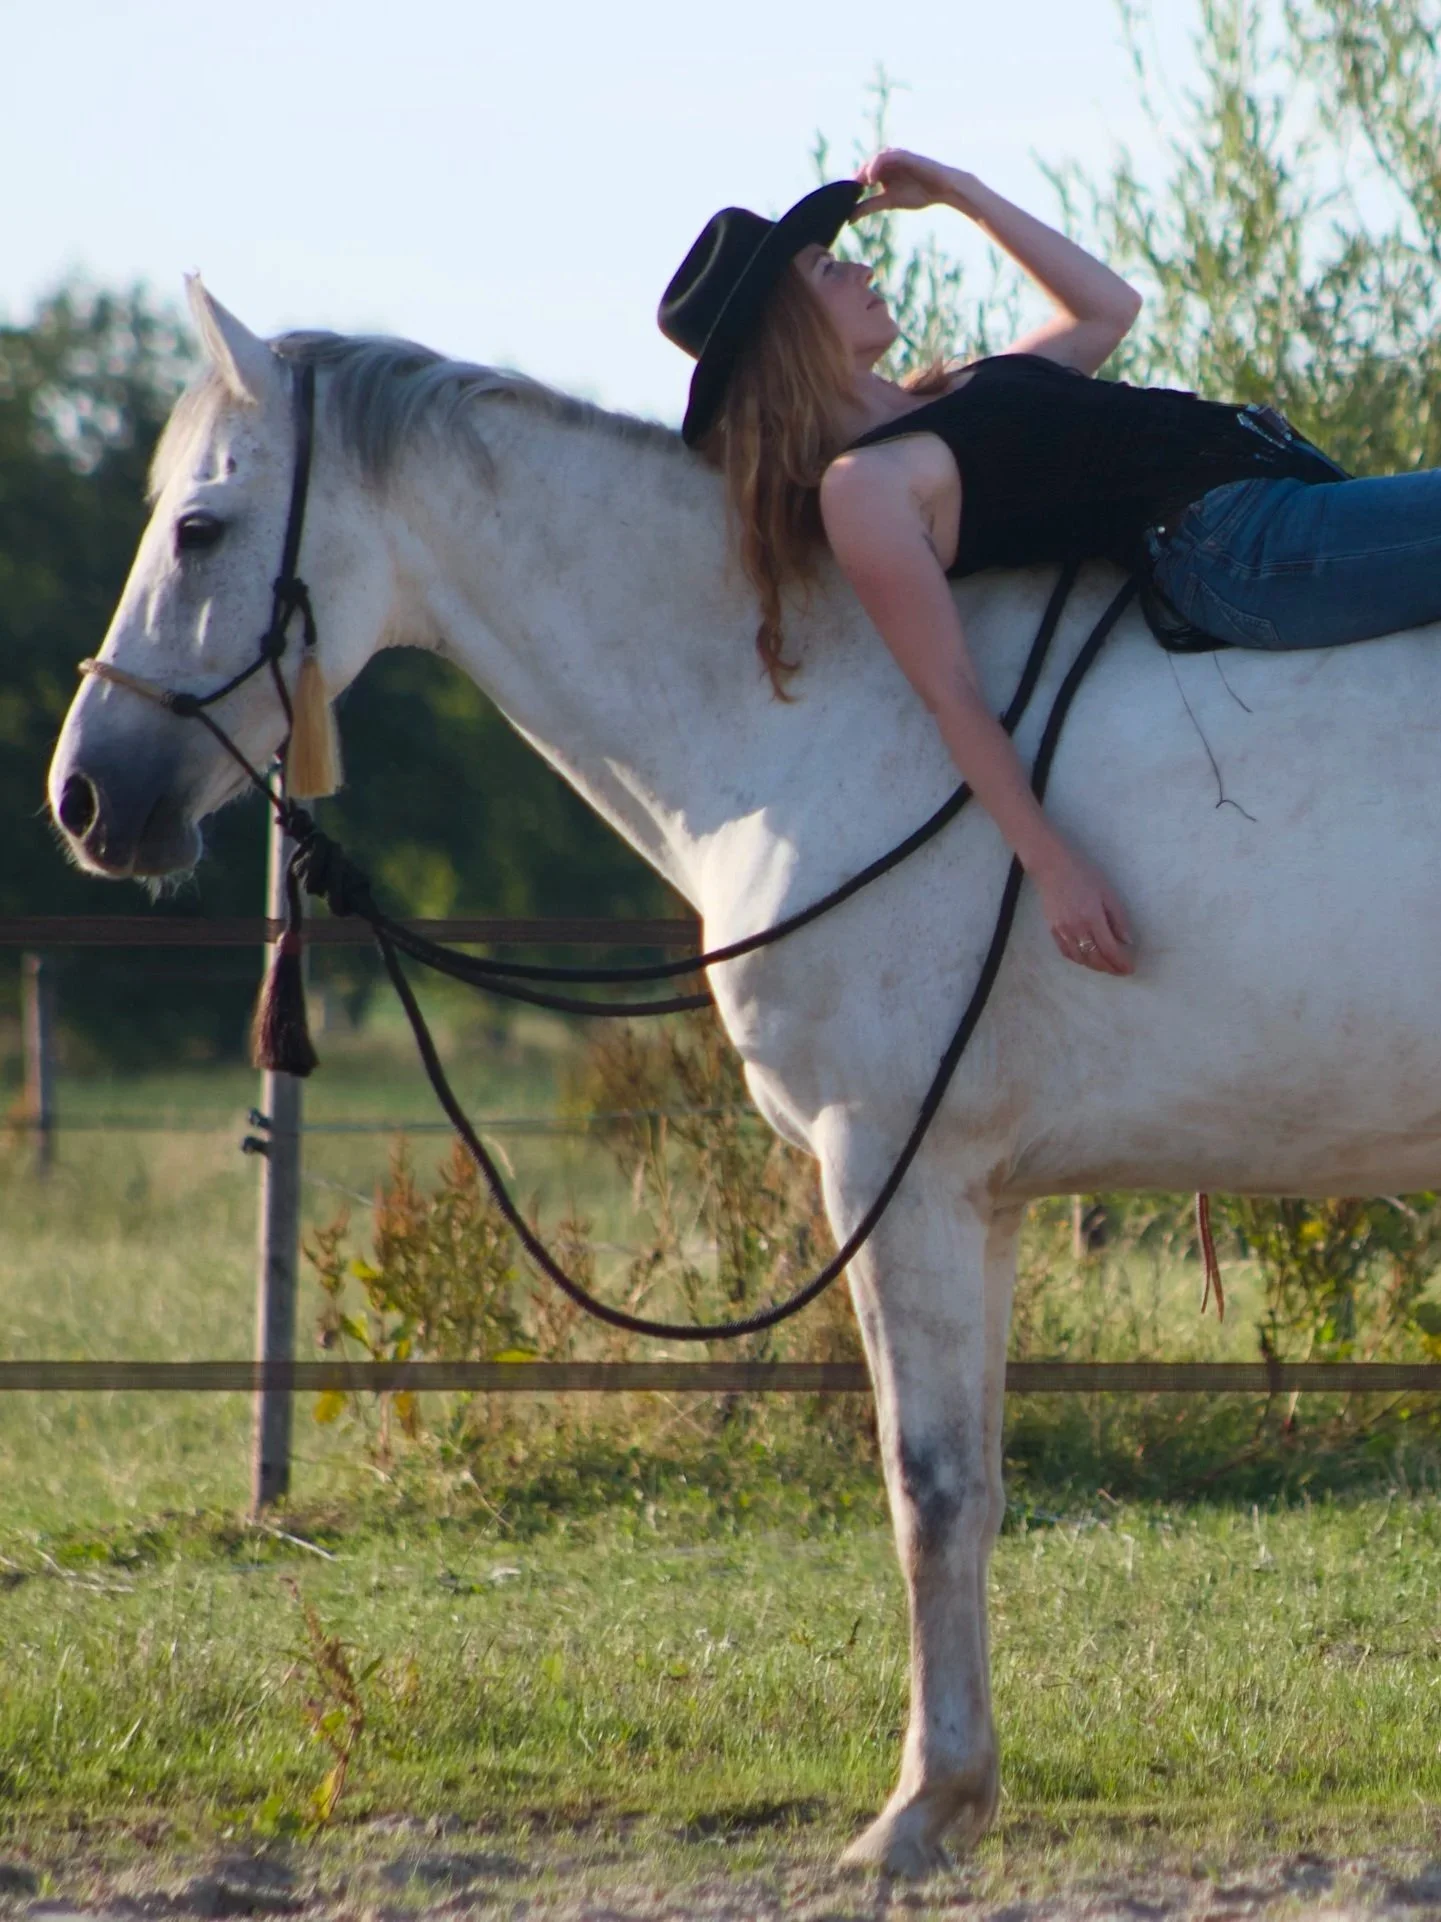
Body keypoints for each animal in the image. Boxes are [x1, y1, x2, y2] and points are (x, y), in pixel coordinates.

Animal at [46, 280, 1441, 1875]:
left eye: (200, 529)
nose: (86, 794)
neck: (821, 711)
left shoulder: (892, 1171)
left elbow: (929, 1488)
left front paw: (919, 1807)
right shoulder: (975, 1196)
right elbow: (971, 1484)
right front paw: (954, 1790)